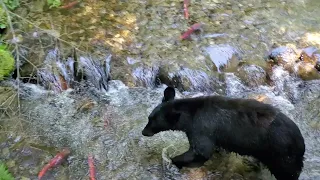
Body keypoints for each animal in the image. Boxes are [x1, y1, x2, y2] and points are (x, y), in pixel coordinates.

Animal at [142, 86, 304, 179]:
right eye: (149, 118)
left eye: (152, 122)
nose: (144, 132)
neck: (191, 114)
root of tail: (301, 142)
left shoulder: (202, 128)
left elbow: (201, 152)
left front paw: (172, 160)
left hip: (282, 155)